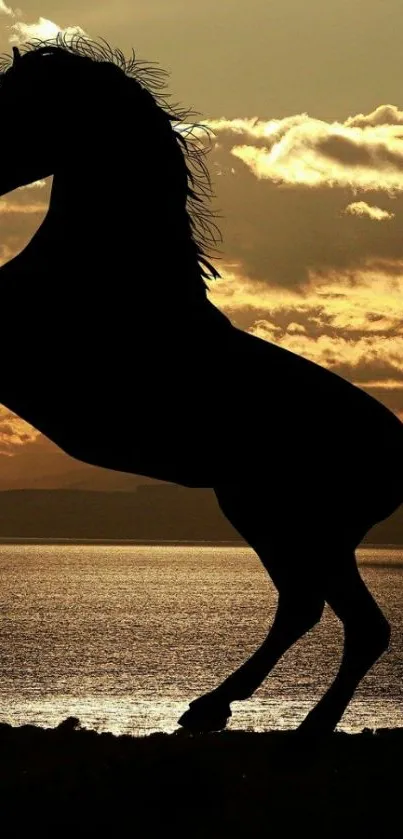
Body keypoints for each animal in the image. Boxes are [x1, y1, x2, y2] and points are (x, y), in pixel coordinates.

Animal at [0, 37, 403, 736]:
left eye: (15, 103)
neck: (108, 266)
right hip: (275, 518)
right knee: (309, 608)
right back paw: (217, 708)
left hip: (293, 521)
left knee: (352, 622)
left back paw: (295, 723)